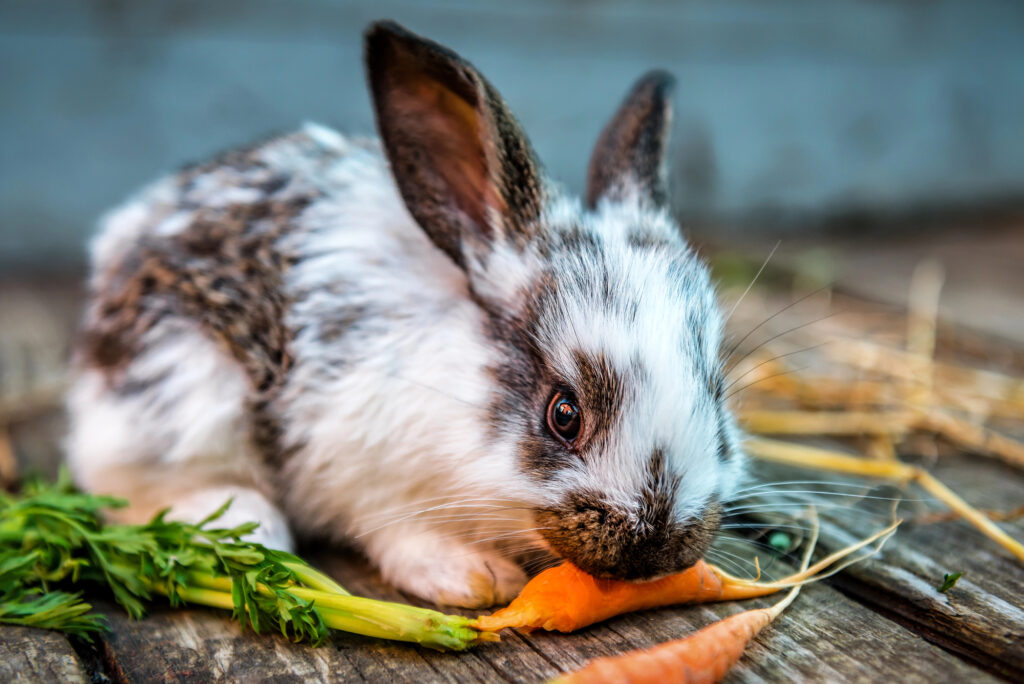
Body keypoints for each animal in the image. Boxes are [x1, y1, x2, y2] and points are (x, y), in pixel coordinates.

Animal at [66, 20, 745, 608]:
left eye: (717, 402)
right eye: (563, 415)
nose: (654, 550)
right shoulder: (361, 471)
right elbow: (400, 534)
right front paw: (475, 577)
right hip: (184, 388)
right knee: (125, 486)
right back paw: (243, 525)